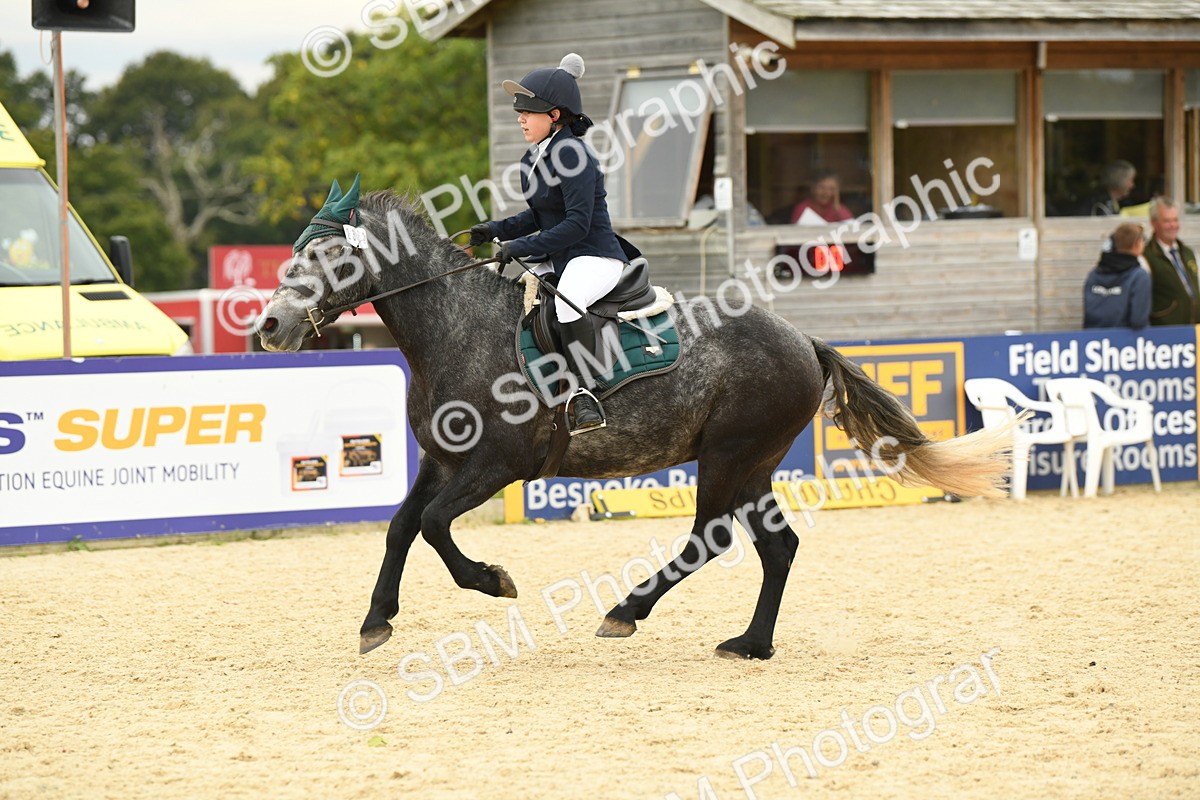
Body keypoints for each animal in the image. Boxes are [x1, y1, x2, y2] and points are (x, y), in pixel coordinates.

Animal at [256, 188, 1013, 660]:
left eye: (328, 257)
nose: (268, 327)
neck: (455, 327)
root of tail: (803, 340)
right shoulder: (443, 461)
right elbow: (401, 527)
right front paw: (375, 621)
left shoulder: (497, 466)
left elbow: (438, 527)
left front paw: (493, 580)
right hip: (753, 465)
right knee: (778, 550)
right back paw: (752, 644)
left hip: (729, 457)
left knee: (710, 539)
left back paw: (627, 611)